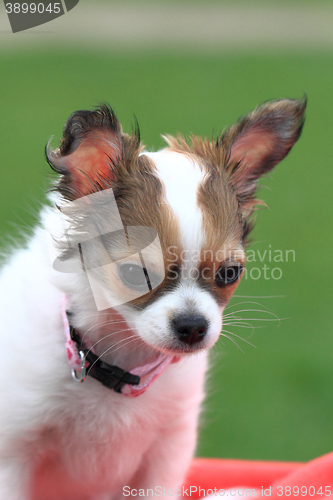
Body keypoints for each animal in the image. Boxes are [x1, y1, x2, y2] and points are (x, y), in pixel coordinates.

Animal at [0, 98, 304, 500]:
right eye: (136, 274)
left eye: (230, 273)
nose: (193, 326)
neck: (123, 364)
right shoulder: (13, 450)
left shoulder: (167, 451)